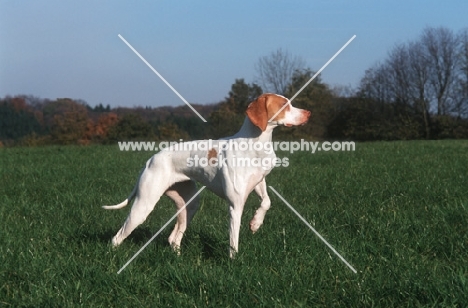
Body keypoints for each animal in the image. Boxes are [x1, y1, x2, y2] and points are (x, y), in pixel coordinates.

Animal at [105, 93, 310, 258]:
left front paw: (256, 223)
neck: (255, 144)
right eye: (284, 104)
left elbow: (267, 202)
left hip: (189, 206)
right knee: (117, 237)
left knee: (173, 238)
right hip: (144, 206)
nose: (308, 113)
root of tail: (151, 159)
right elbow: (234, 239)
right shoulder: (235, 205)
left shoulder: (259, 182)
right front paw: (233, 261)